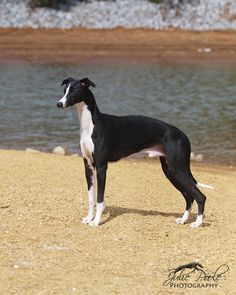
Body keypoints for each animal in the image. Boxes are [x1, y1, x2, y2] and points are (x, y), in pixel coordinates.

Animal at [56, 77, 212, 229]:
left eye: (75, 91)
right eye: (64, 90)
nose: (59, 104)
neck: (92, 125)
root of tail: (184, 136)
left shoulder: (101, 166)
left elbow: (100, 199)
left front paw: (96, 221)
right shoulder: (88, 165)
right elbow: (90, 197)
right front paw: (89, 218)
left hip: (178, 169)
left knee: (200, 196)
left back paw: (197, 223)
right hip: (171, 171)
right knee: (189, 196)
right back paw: (183, 220)